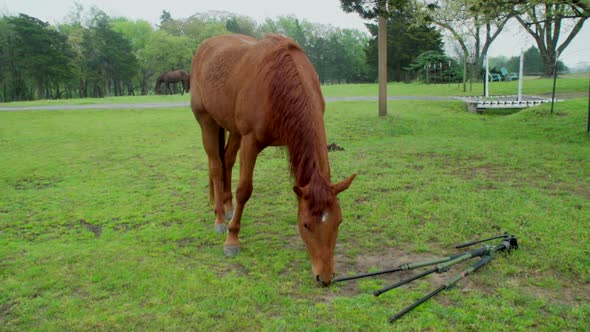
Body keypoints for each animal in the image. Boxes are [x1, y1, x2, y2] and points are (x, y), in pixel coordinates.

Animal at [192, 34, 356, 288]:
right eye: (306, 225)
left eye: (339, 222)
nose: (325, 277)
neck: (277, 81)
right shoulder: (250, 141)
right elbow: (244, 190)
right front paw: (232, 239)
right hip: (207, 121)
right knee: (216, 167)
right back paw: (220, 219)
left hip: (233, 129)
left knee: (227, 160)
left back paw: (228, 209)